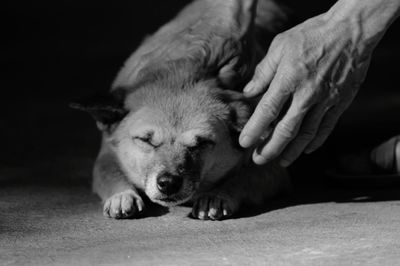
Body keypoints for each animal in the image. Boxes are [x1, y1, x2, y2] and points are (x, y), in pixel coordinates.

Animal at [72, 0, 290, 220]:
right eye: (145, 140)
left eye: (202, 143)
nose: (168, 183)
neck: (179, 77)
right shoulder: (105, 156)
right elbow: (110, 172)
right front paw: (122, 195)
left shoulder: (270, 168)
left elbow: (241, 179)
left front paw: (218, 195)